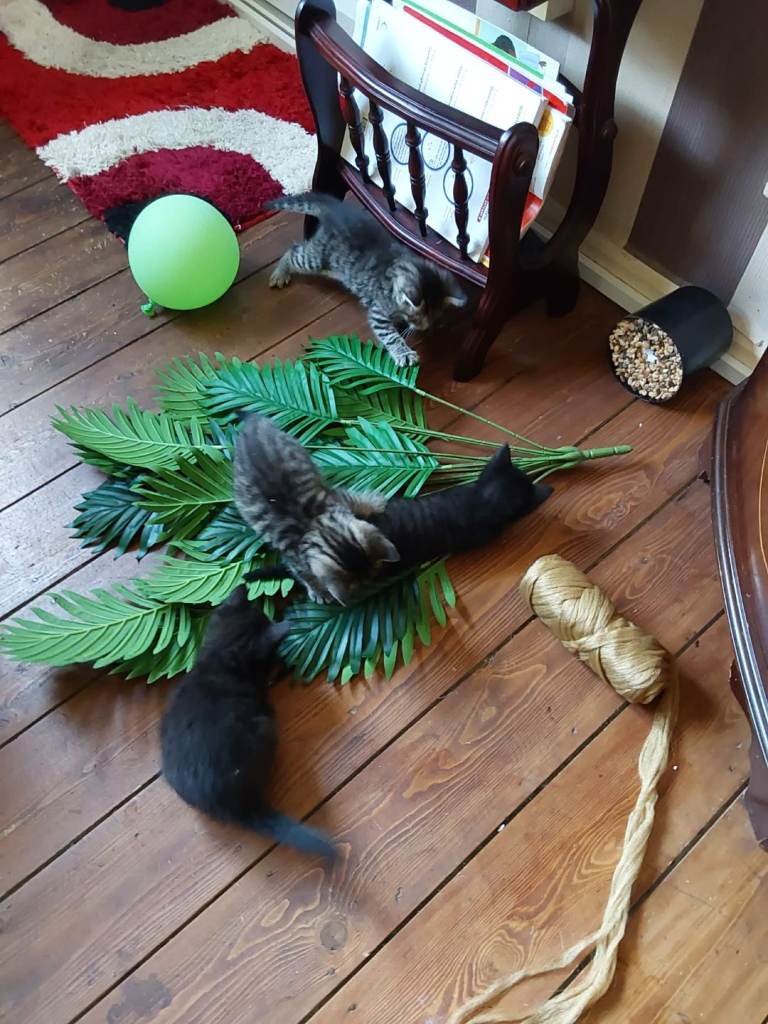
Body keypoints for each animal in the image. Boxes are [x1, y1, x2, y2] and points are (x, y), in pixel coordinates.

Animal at [233, 412, 399, 605]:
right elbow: (307, 576)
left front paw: (375, 503)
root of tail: (251, 423)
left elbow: (358, 501)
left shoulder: (338, 500)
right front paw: (319, 591)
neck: (314, 526)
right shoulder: (294, 558)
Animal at [265, 192, 467, 367]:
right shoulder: (379, 313)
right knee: (293, 251)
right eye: (417, 317)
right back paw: (280, 273)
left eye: (434, 317)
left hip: (333, 264)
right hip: (315, 258)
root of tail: (335, 208)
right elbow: (390, 335)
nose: (423, 328)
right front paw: (403, 352)